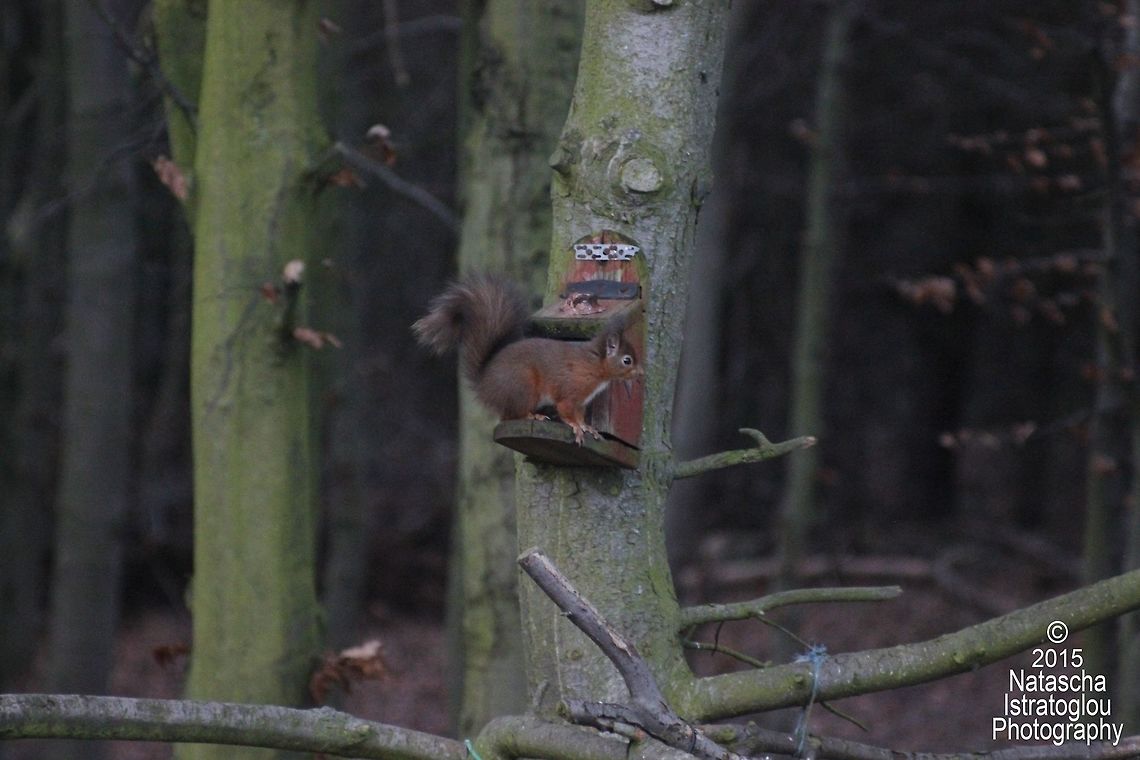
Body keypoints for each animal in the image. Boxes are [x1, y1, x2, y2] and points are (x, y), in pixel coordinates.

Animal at [413, 275, 641, 445]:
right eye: (627, 360)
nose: (641, 373)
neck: (594, 365)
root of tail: (485, 385)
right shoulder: (570, 392)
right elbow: (566, 411)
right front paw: (576, 428)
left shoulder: (581, 402)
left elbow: (579, 415)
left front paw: (587, 427)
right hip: (523, 385)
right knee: (510, 416)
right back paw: (533, 416)